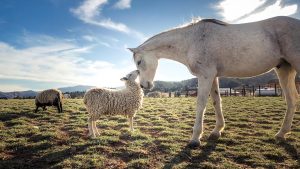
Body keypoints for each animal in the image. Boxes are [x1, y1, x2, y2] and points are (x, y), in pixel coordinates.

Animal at [128, 16, 300, 147]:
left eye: (139, 62)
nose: (144, 85)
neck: (191, 40)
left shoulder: (205, 76)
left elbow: (201, 104)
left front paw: (195, 139)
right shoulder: (213, 76)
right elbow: (217, 101)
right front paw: (217, 131)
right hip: (284, 69)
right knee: (292, 100)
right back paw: (281, 134)